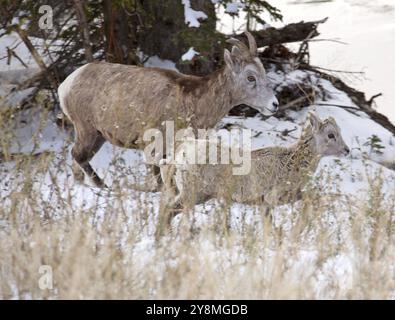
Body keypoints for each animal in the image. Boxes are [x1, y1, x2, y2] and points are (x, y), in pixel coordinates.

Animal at [60, 31, 280, 188]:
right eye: (250, 77)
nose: (274, 104)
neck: (194, 102)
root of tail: (66, 85)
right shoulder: (154, 146)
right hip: (86, 129)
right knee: (78, 155)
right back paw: (104, 187)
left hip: (99, 136)